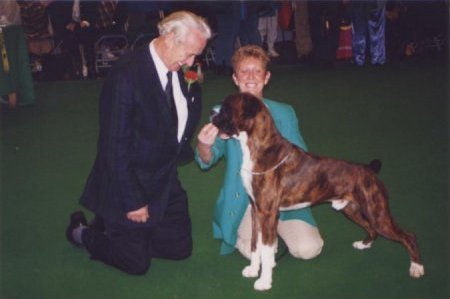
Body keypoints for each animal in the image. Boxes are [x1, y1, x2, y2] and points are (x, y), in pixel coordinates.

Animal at [211, 93, 426, 290]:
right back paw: (364, 245)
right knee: (371, 229)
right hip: (352, 209)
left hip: (378, 214)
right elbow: (256, 246)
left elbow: (265, 248)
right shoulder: (257, 212)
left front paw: (264, 281)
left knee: (408, 236)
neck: (258, 147)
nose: (212, 113)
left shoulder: (268, 214)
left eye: (226, 108)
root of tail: (368, 169)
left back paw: (417, 267)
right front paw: (253, 270)